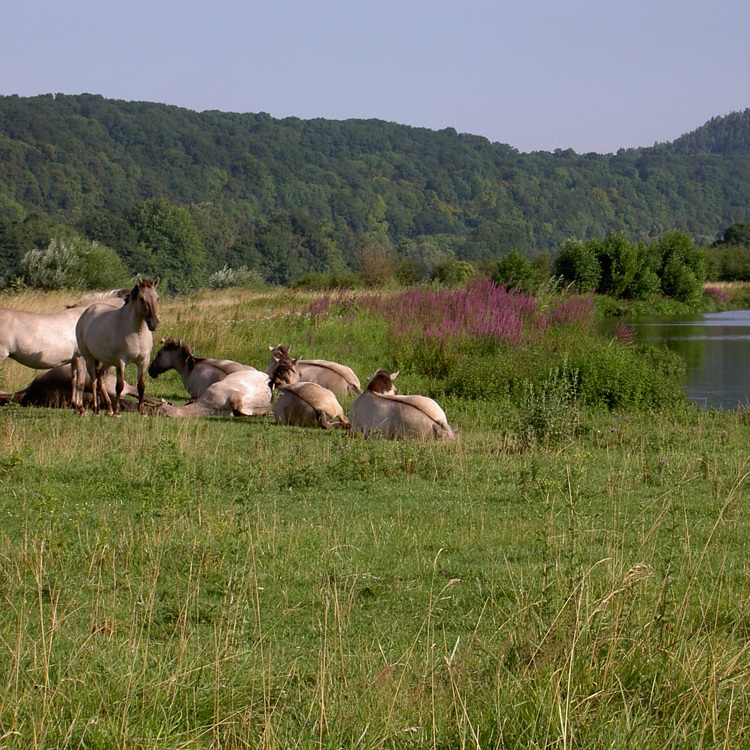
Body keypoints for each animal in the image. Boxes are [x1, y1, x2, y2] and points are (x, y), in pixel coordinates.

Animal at [72, 276, 160, 418]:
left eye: (157, 298)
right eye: (141, 298)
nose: (153, 323)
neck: (137, 333)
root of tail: (86, 313)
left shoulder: (144, 361)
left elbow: (141, 386)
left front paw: (142, 412)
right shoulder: (121, 362)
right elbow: (120, 386)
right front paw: (117, 412)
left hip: (107, 362)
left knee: (100, 379)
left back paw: (108, 409)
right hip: (89, 358)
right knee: (93, 381)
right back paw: (96, 411)